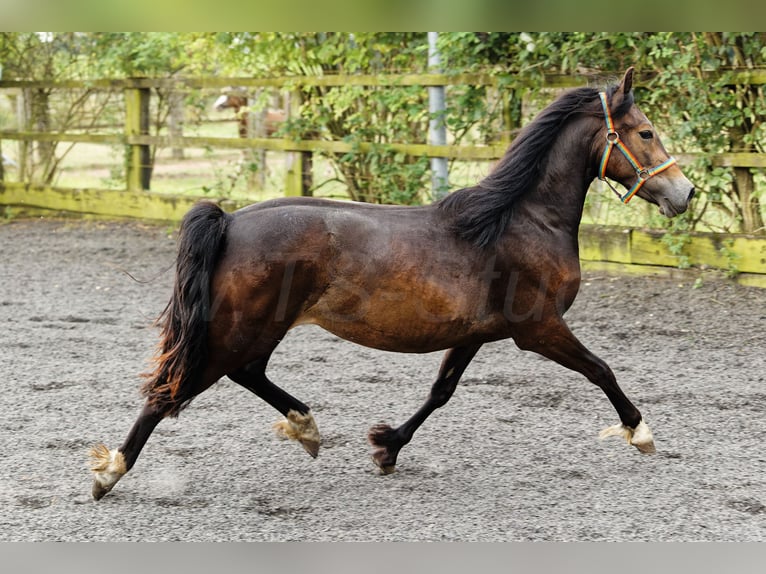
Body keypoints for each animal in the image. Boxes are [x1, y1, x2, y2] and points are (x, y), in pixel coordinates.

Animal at [90, 66, 696, 500]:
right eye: (646, 132)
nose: (685, 194)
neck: (520, 220)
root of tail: (231, 221)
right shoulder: (540, 329)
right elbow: (602, 370)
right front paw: (640, 433)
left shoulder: (475, 333)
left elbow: (441, 392)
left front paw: (388, 448)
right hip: (237, 329)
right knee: (171, 393)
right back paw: (110, 473)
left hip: (253, 329)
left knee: (246, 374)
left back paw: (306, 428)